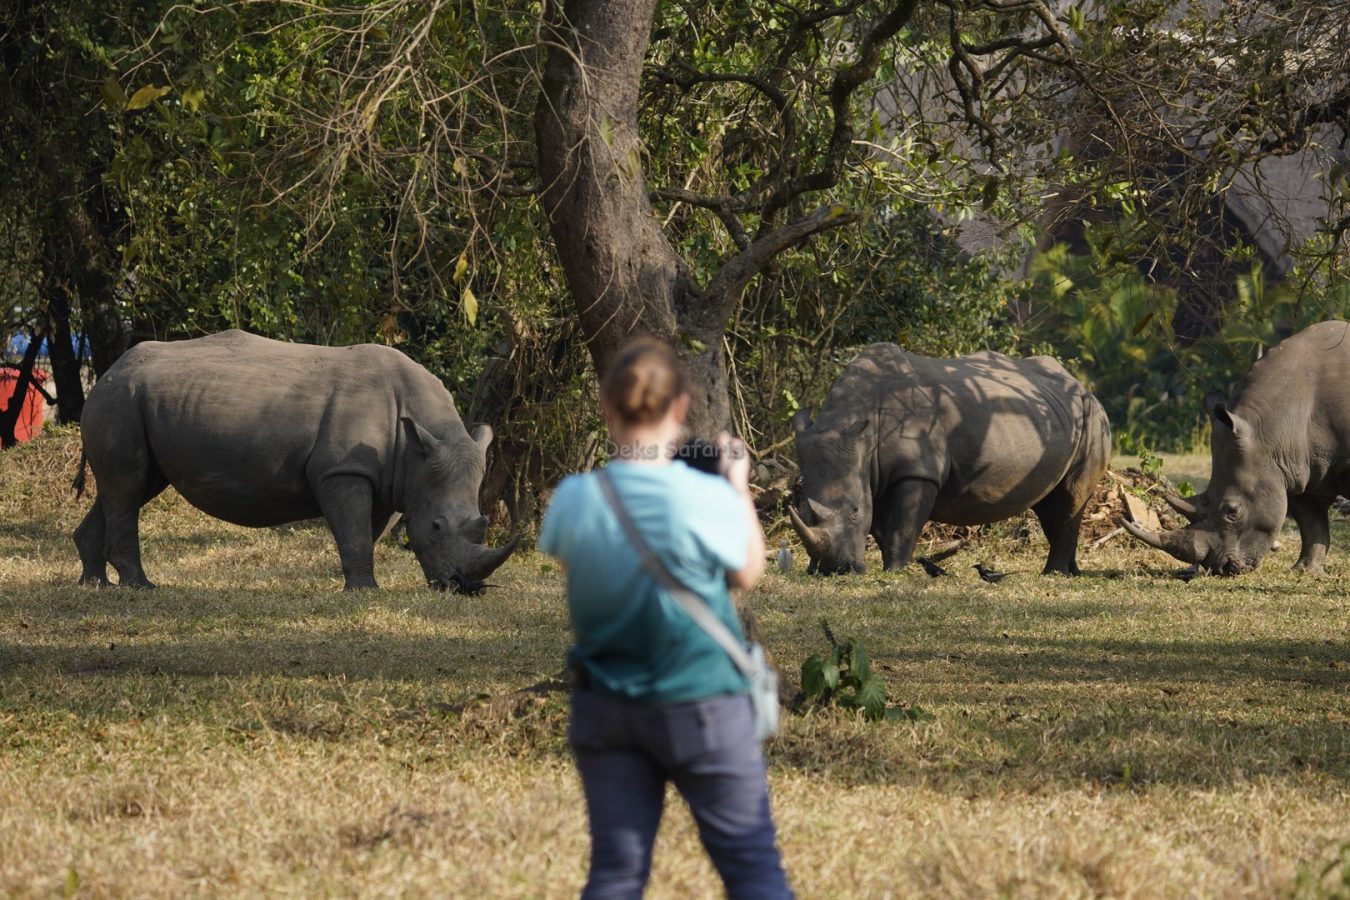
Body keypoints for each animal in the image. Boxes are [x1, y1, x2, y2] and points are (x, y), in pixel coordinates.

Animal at [73, 330, 517, 591]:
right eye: (437, 526)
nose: (465, 587)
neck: (417, 448)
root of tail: (109, 370)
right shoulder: (343, 471)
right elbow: (354, 530)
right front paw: (364, 591)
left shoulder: (393, 480)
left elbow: (367, 532)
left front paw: (354, 583)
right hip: (120, 400)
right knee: (127, 488)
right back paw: (140, 586)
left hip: (133, 401)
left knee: (130, 487)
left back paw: (95, 584)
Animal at [789, 343, 1111, 575]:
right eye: (802, 510)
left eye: (855, 511)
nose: (834, 571)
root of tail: (1084, 387)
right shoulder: (873, 472)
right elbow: (881, 528)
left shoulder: (917, 470)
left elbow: (902, 526)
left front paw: (895, 570)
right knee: (1049, 504)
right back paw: (1070, 572)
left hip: (1093, 419)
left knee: (1070, 497)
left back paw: (1053, 574)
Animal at [1124, 320, 1350, 576]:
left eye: (1232, 511)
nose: (1221, 568)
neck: (1273, 431)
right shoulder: (1300, 470)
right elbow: (1312, 525)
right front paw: (1303, 571)